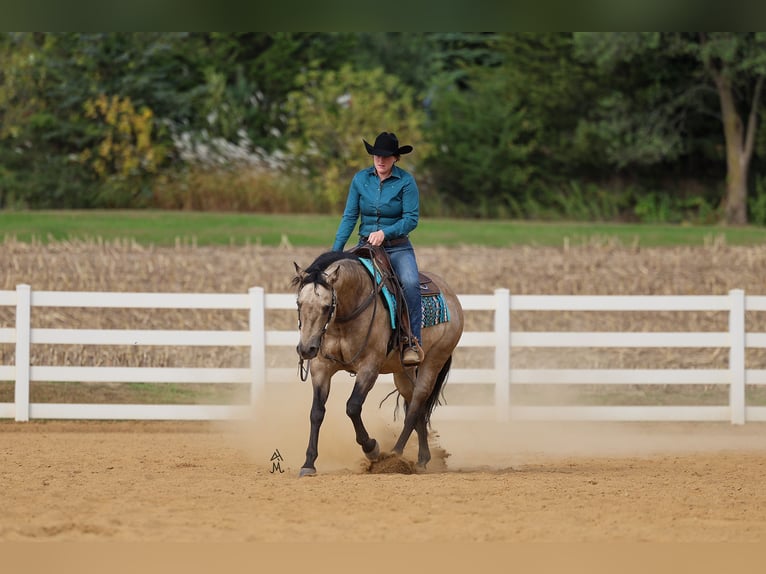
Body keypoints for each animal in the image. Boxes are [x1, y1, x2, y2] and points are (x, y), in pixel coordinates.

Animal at [292, 249, 464, 477]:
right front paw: (308, 463)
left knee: (416, 405)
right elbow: (316, 412)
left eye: (327, 306)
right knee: (415, 407)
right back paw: (421, 459)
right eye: (299, 304)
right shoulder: (321, 368)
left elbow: (353, 407)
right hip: (403, 372)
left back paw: (395, 455)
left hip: (434, 361)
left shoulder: (369, 367)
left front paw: (371, 448)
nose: (306, 349)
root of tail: (451, 296)